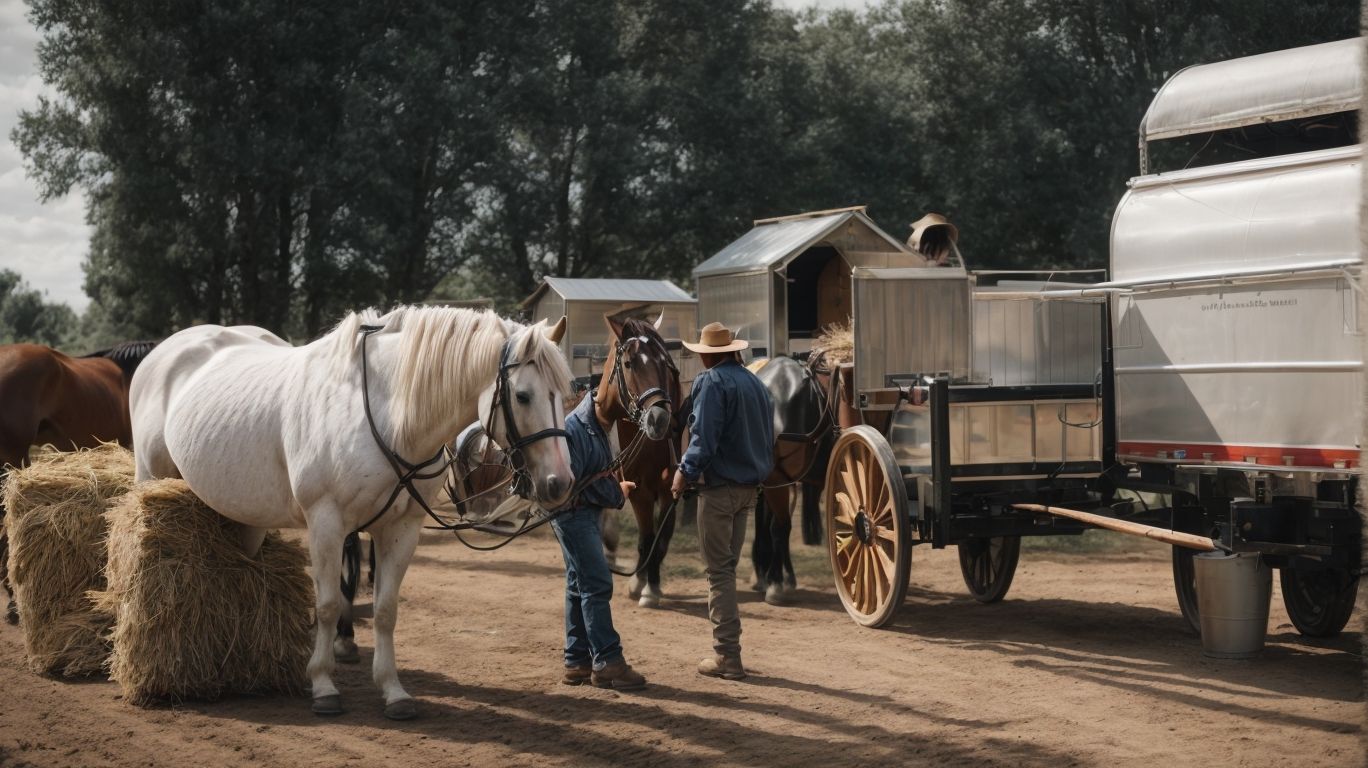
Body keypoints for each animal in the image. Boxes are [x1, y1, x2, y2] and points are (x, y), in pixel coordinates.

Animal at [129, 307, 574, 720]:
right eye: (523, 395)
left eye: (566, 392)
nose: (560, 483)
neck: (388, 415)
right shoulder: (326, 522)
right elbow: (327, 604)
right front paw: (323, 685)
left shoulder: (401, 528)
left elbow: (385, 611)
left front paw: (393, 691)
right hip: (149, 473)